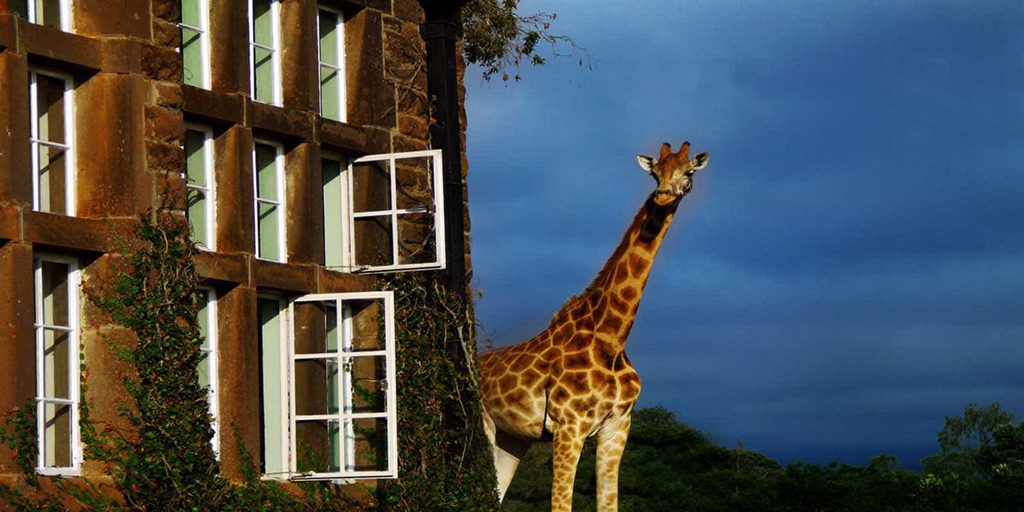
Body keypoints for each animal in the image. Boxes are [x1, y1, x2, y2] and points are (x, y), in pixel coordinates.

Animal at [479, 141, 711, 511]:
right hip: (485, 426)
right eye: (654, 173)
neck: (611, 339)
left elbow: (609, 503)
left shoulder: (617, 427)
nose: (663, 196)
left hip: (512, 438)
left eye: (688, 172)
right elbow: (561, 505)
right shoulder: (568, 426)